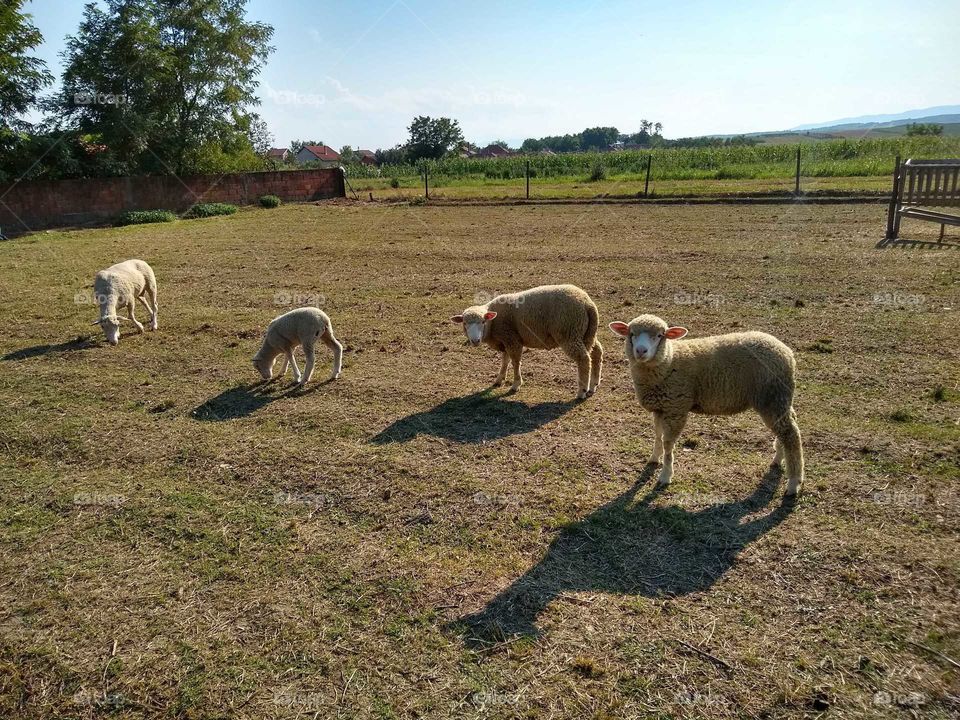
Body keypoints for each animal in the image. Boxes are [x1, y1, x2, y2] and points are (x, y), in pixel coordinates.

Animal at [451, 284, 603, 400]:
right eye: (464, 323)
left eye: (483, 322)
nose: (475, 340)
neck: (493, 323)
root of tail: (588, 303)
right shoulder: (506, 340)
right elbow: (505, 361)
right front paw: (499, 380)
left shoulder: (512, 339)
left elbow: (515, 362)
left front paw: (516, 384)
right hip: (587, 333)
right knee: (597, 352)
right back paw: (593, 385)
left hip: (569, 333)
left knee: (583, 359)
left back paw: (581, 391)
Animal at [609, 314, 804, 496]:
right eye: (631, 334)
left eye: (659, 335)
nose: (641, 351)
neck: (669, 361)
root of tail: (786, 351)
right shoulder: (660, 407)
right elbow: (658, 435)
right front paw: (654, 458)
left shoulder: (676, 408)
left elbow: (668, 444)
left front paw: (665, 475)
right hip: (780, 398)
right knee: (787, 426)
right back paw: (778, 458)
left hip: (772, 398)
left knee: (791, 434)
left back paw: (793, 483)